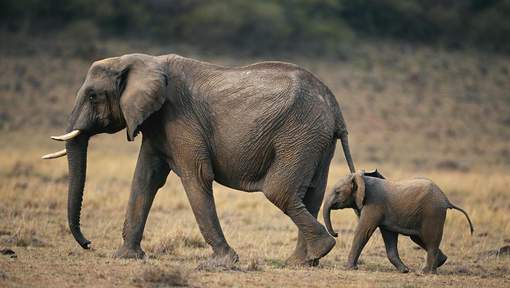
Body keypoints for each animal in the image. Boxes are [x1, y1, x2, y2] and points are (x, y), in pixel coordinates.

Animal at [42, 53, 354, 266]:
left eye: (93, 96)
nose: (88, 243)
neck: (142, 60)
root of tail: (336, 107)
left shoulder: (179, 118)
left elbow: (196, 176)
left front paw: (225, 262)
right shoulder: (156, 124)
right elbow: (145, 179)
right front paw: (126, 257)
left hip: (299, 133)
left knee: (280, 192)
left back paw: (320, 249)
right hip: (316, 140)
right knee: (311, 194)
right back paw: (302, 261)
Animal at [322, 171, 474, 274]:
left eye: (337, 192)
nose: (336, 234)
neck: (362, 179)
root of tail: (446, 199)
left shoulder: (373, 204)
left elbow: (363, 231)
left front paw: (348, 268)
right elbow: (389, 236)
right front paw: (404, 270)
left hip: (433, 213)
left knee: (430, 240)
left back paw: (425, 272)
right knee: (419, 238)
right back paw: (440, 262)